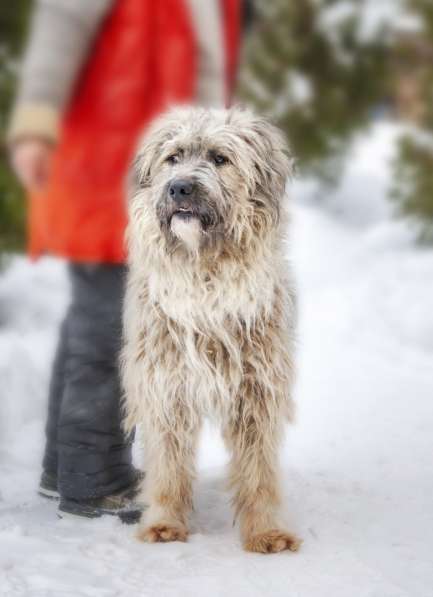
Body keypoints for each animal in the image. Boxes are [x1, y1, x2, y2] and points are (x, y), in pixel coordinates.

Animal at [120, 107, 298, 556]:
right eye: (173, 157)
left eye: (220, 158)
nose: (180, 187)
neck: (205, 274)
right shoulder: (165, 385)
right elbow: (168, 467)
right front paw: (164, 523)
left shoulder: (257, 391)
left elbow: (258, 472)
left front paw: (265, 532)